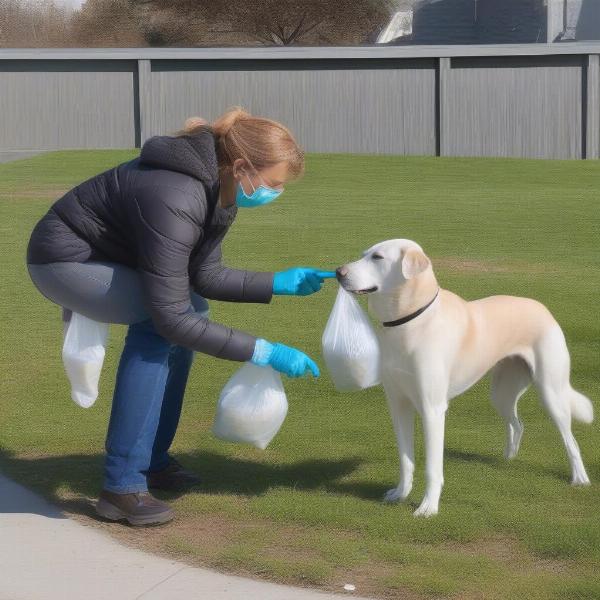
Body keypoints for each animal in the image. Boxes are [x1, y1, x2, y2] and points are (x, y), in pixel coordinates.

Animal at [336, 238, 592, 516]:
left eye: (378, 257)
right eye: (364, 254)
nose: (338, 272)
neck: (410, 321)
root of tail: (543, 308)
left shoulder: (432, 409)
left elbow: (432, 467)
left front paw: (428, 507)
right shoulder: (398, 404)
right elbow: (405, 460)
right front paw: (400, 494)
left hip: (551, 392)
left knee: (571, 441)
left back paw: (580, 478)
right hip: (501, 393)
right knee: (517, 424)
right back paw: (507, 460)